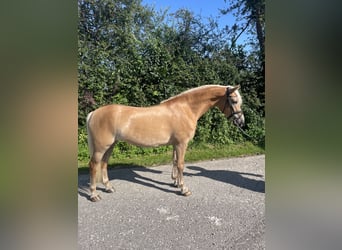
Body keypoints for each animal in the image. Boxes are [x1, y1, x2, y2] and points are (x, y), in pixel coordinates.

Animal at [87, 84, 244, 201]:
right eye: (234, 101)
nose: (241, 122)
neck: (185, 109)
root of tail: (93, 113)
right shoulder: (181, 144)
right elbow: (180, 164)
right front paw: (184, 189)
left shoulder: (175, 144)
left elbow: (174, 162)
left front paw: (175, 182)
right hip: (101, 148)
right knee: (94, 165)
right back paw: (94, 194)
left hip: (110, 146)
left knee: (104, 164)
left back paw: (108, 187)